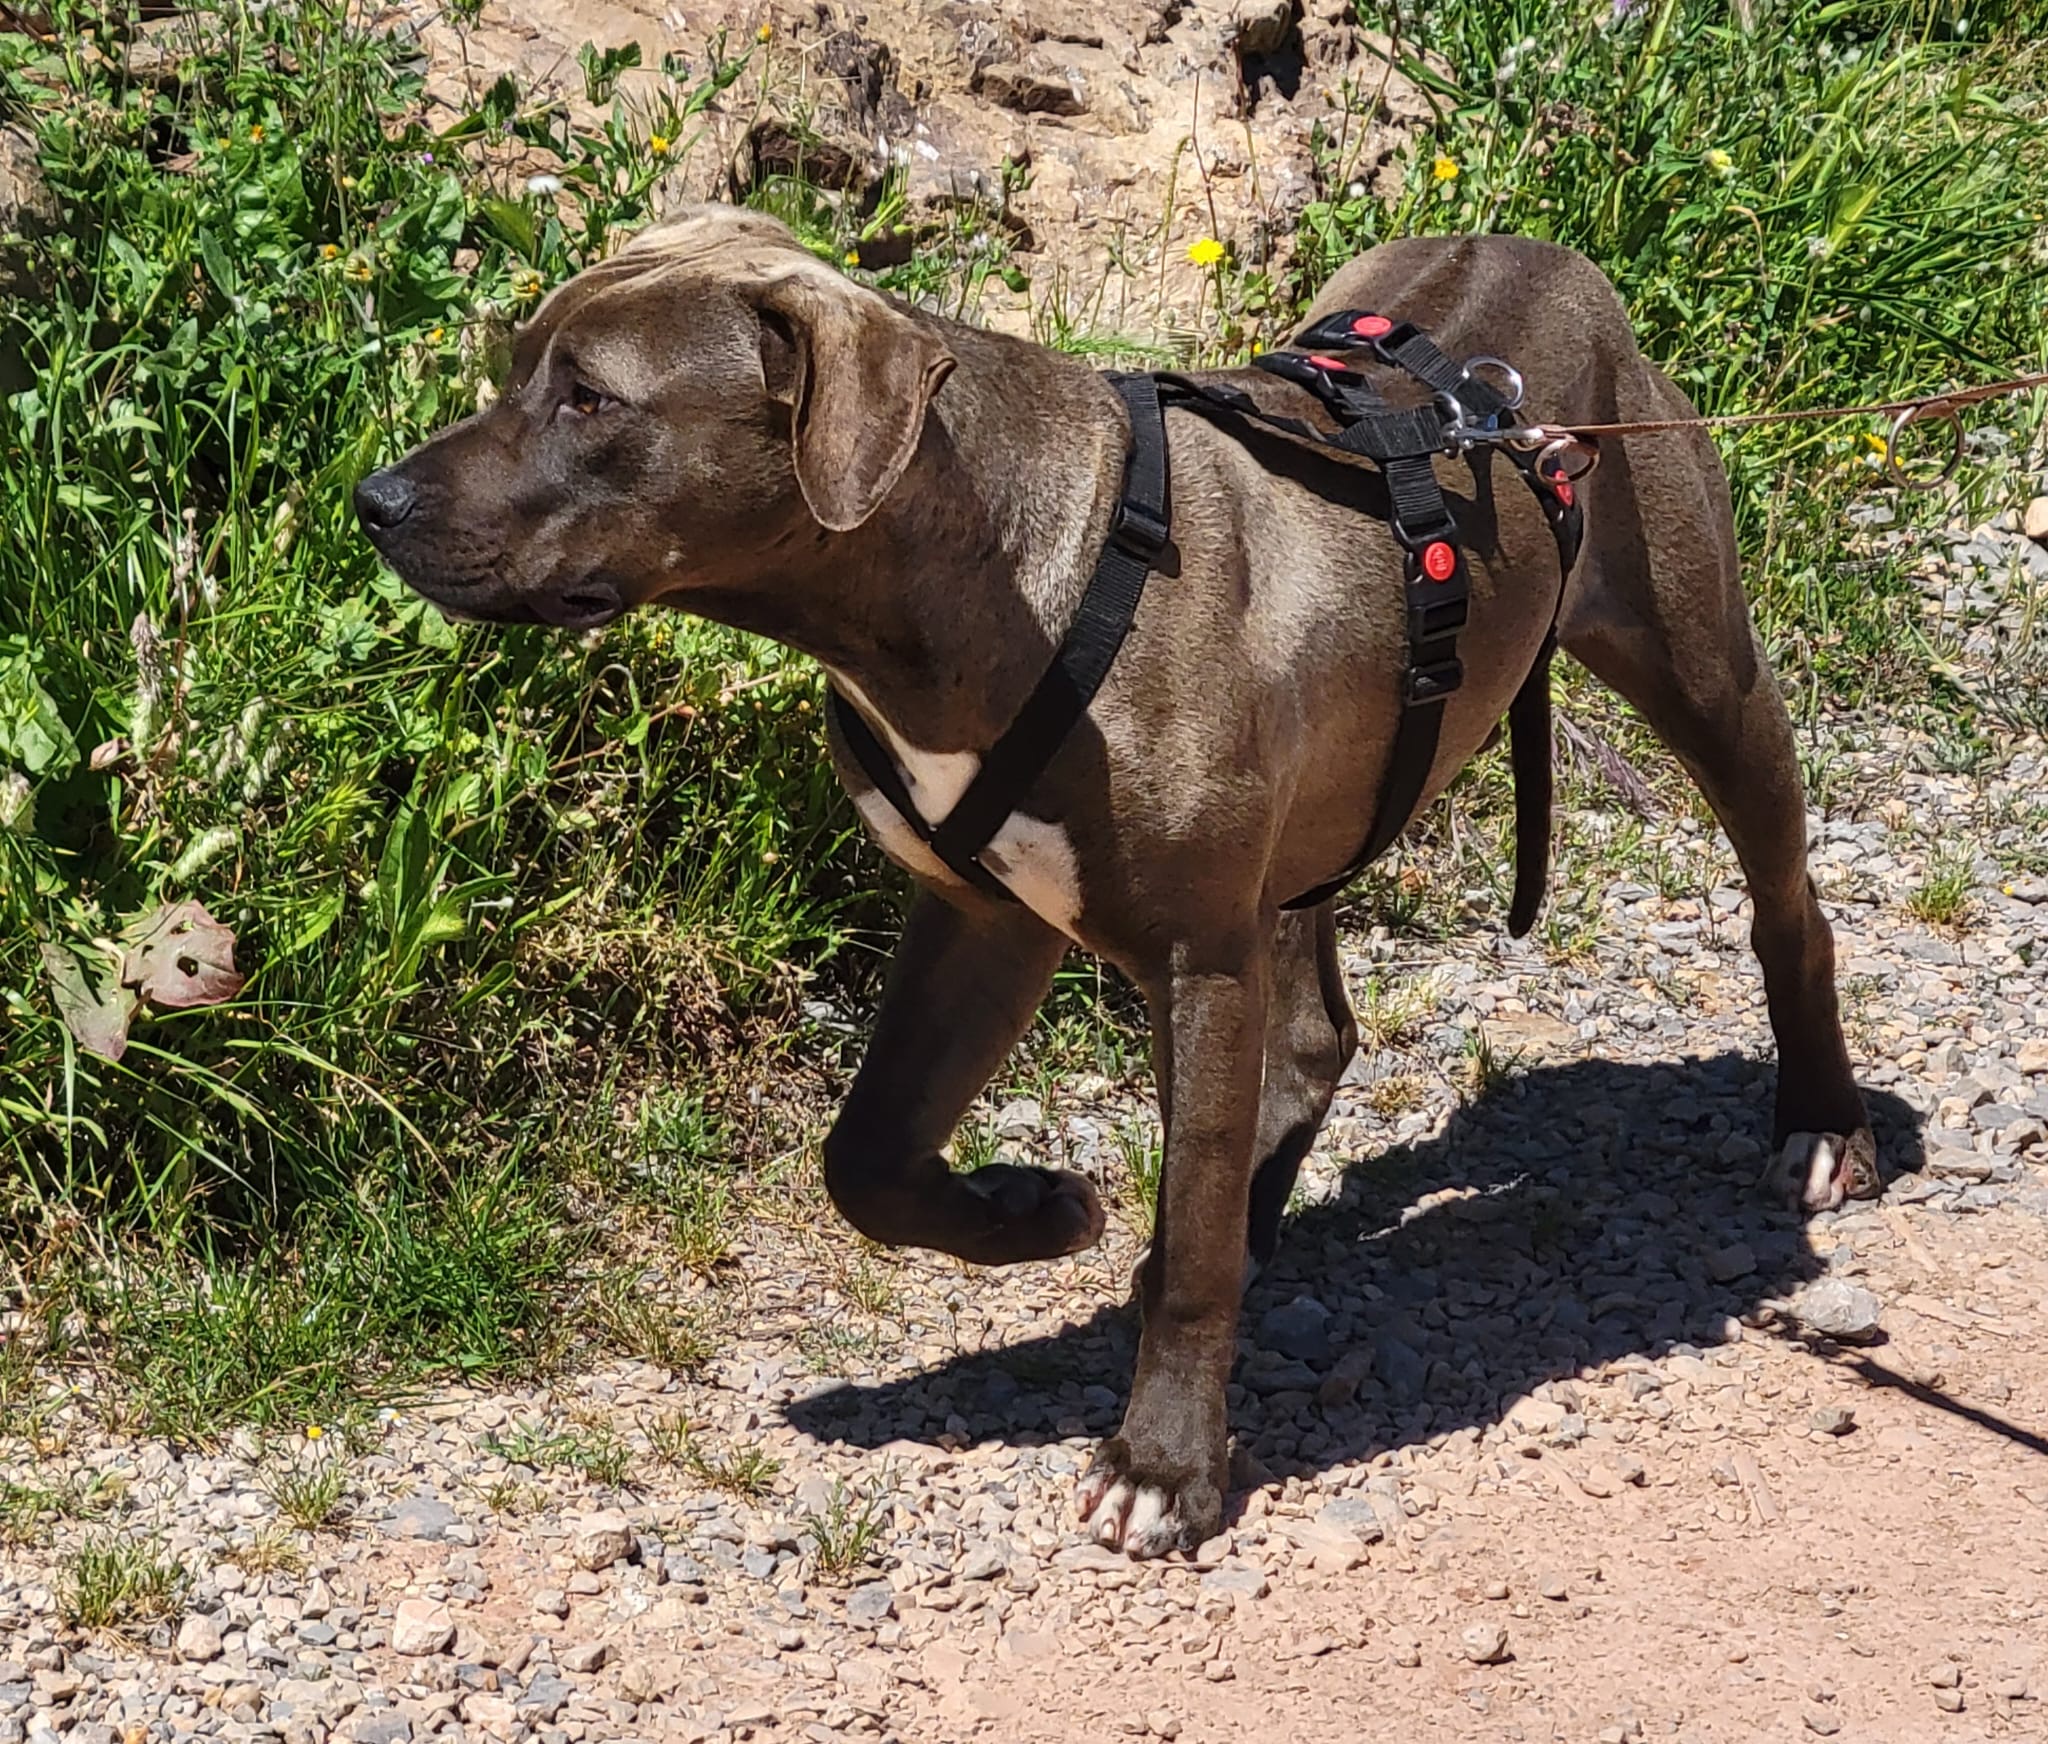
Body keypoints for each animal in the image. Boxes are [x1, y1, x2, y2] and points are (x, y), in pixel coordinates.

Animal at [357, 203, 1880, 1560]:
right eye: (515, 365)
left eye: (589, 398)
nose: (374, 501)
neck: (979, 575)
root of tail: (1529, 259)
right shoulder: (980, 917)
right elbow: (866, 1157)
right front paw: (1033, 1216)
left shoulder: (1194, 953)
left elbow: (1190, 1249)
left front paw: (1164, 1465)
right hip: (1331, 792)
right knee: (1311, 1036)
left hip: (1702, 673)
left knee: (1786, 909)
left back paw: (1821, 1119)